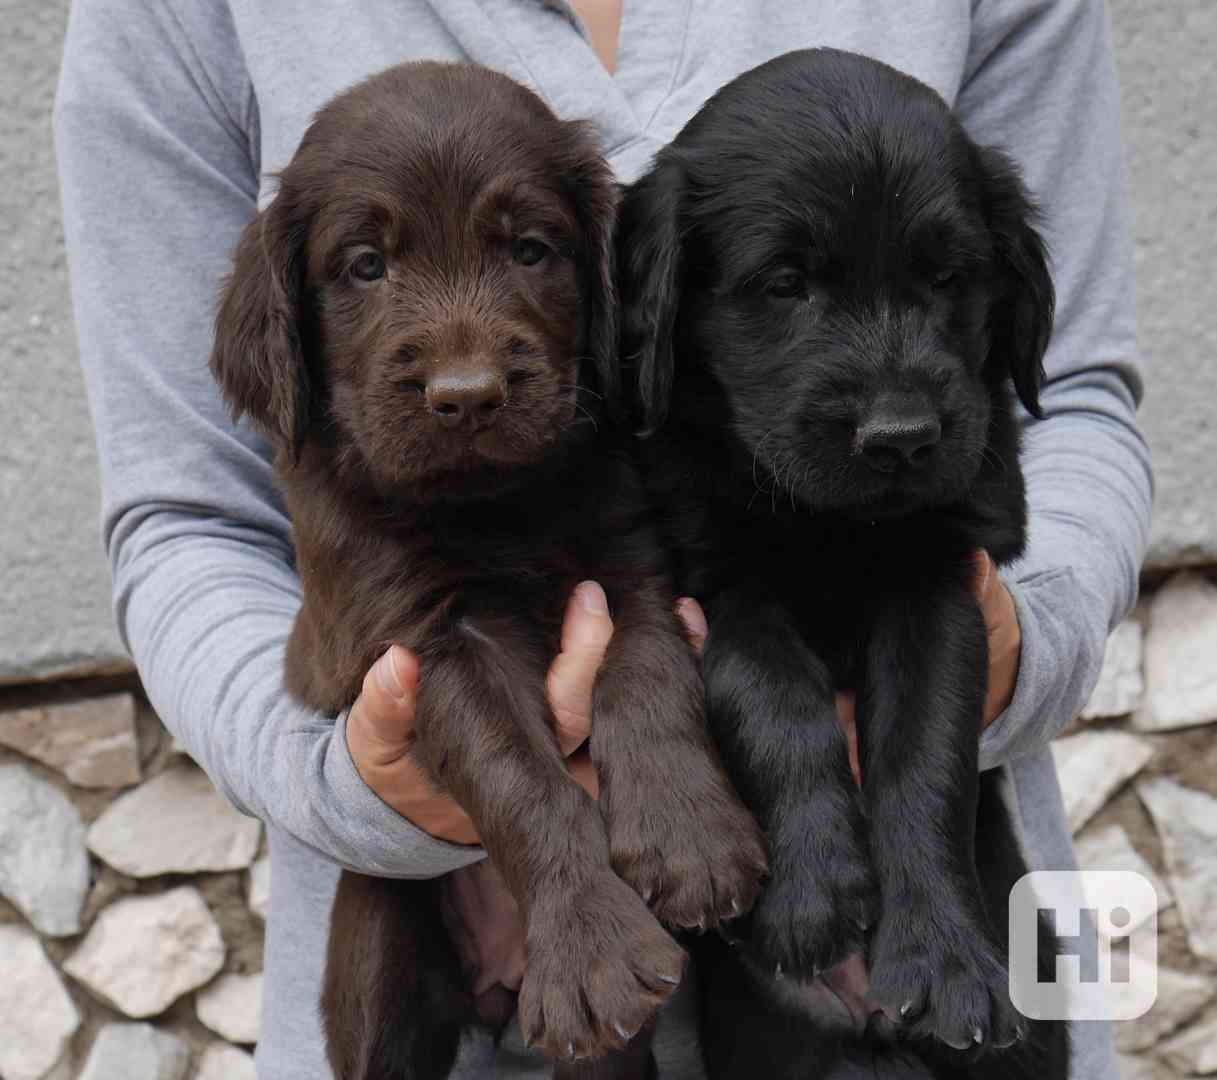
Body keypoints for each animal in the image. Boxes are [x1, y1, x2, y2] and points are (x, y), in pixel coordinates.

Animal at [206, 61, 759, 1080]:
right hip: (379, 944)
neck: (492, 505)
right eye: (365, 266)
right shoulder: (422, 637)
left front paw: (688, 840)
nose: (465, 398)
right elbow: (513, 770)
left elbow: (647, 676)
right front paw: (589, 945)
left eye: (530, 250)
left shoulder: (629, 567)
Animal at [623, 46, 1070, 1076]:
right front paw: (813, 892)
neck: (830, 522)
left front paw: (944, 959)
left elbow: (922, 748)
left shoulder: (937, 581)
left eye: (948, 276)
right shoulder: (714, 581)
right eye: (786, 282)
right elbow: (772, 699)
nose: (900, 436)